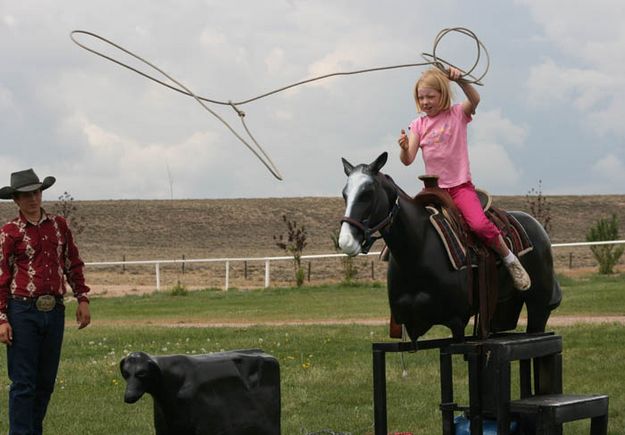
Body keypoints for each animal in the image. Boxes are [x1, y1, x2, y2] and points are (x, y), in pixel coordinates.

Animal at [336, 152, 560, 342]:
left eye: (367, 193)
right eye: (345, 194)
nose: (346, 241)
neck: (419, 249)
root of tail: (538, 227)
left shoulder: (456, 322)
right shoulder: (407, 326)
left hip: (538, 307)